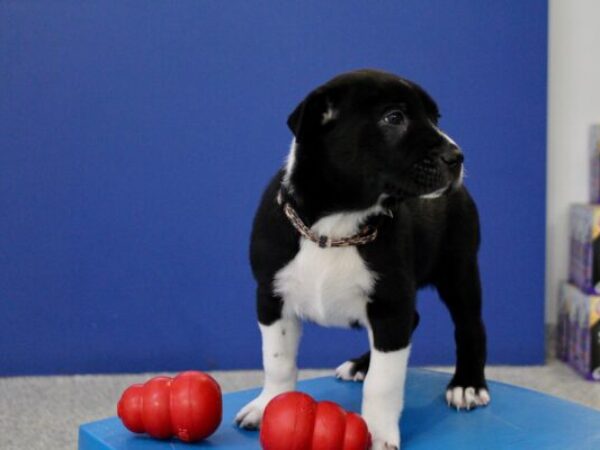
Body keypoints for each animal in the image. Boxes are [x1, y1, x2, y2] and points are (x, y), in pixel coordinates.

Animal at [234, 68, 488, 448]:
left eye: (435, 118)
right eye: (394, 118)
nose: (457, 157)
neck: (334, 225)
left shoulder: (390, 305)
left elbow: (383, 383)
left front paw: (378, 431)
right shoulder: (270, 295)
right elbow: (277, 360)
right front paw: (268, 404)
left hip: (459, 269)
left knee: (469, 325)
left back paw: (467, 384)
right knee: (413, 321)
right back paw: (361, 364)